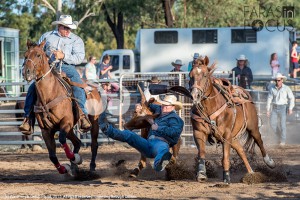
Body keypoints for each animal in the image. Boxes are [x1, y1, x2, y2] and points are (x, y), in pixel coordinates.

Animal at [22, 40, 102, 173]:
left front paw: (74, 158)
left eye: (38, 55)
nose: (26, 72)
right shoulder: (46, 130)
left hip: (93, 121)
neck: (50, 94)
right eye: (25, 55)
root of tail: (93, 88)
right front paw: (64, 169)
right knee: (77, 142)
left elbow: (62, 140)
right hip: (69, 129)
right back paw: (74, 167)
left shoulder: (66, 122)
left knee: (94, 144)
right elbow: (52, 155)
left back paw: (91, 166)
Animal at [189, 55, 276, 183]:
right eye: (190, 75)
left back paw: (269, 162)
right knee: (241, 151)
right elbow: (202, 153)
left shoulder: (226, 134)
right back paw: (251, 173)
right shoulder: (198, 132)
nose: (195, 96)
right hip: (233, 137)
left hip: (252, 127)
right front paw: (201, 174)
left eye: (205, 75)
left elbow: (225, 157)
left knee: (259, 140)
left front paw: (226, 178)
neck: (210, 107)